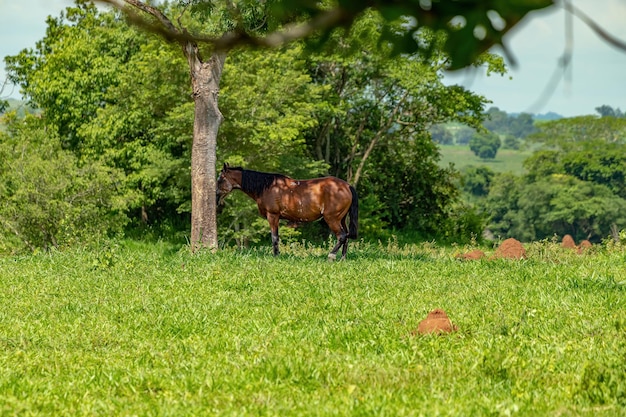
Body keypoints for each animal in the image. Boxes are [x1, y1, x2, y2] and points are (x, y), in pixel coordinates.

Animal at [217, 163, 358, 258]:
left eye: (221, 178)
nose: (216, 196)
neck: (267, 187)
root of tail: (347, 186)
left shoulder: (273, 216)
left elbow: (274, 237)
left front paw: (276, 256)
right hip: (342, 218)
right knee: (346, 236)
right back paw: (342, 258)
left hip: (332, 218)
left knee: (342, 236)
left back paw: (331, 256)